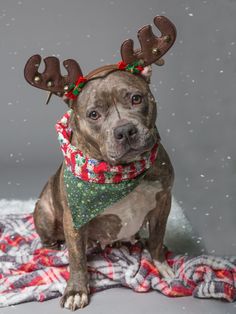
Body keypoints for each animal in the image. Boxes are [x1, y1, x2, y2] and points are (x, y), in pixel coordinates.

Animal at [24, 15, 176, 310]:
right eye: (93, 114)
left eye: (136, 98)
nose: (125, 130)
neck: (120, 173)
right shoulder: (74, 218)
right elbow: (77, 259)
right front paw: (76, 290)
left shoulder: (164, 200)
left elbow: (157, 237)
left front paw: (160, 265)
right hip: (45, 210)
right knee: (51, 240)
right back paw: (54, 250)